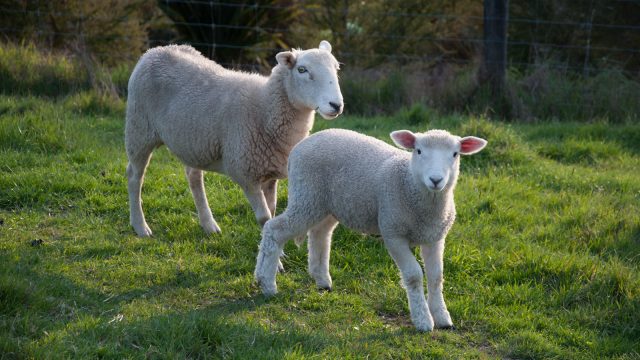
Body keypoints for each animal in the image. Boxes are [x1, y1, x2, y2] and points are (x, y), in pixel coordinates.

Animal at [126, 40, 344, 236]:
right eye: (302, 70)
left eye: (336, 68)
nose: (336, 105)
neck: (265, 107)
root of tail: (157, 50)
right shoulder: (245, 173)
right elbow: (264, 217)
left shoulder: (271, 173)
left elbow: (272, 213)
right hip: (139, 129)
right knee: (134, 176)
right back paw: (140, 226)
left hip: (195, 141)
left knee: (193, 176)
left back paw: (209, 225)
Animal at [252, 127, 488, 332]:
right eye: (419, 151)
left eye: (455, 154)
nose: (436, 180)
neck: (411, 185)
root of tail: (300, 146)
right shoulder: (393, 232)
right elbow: (413, 275)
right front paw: (422, 320)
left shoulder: (435, 237)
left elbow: (436, 276)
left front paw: (442, 317)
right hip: (306, 196)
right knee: (274, 230)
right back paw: (266, 283)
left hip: (327, 204)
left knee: (320, 234)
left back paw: (322, 280)